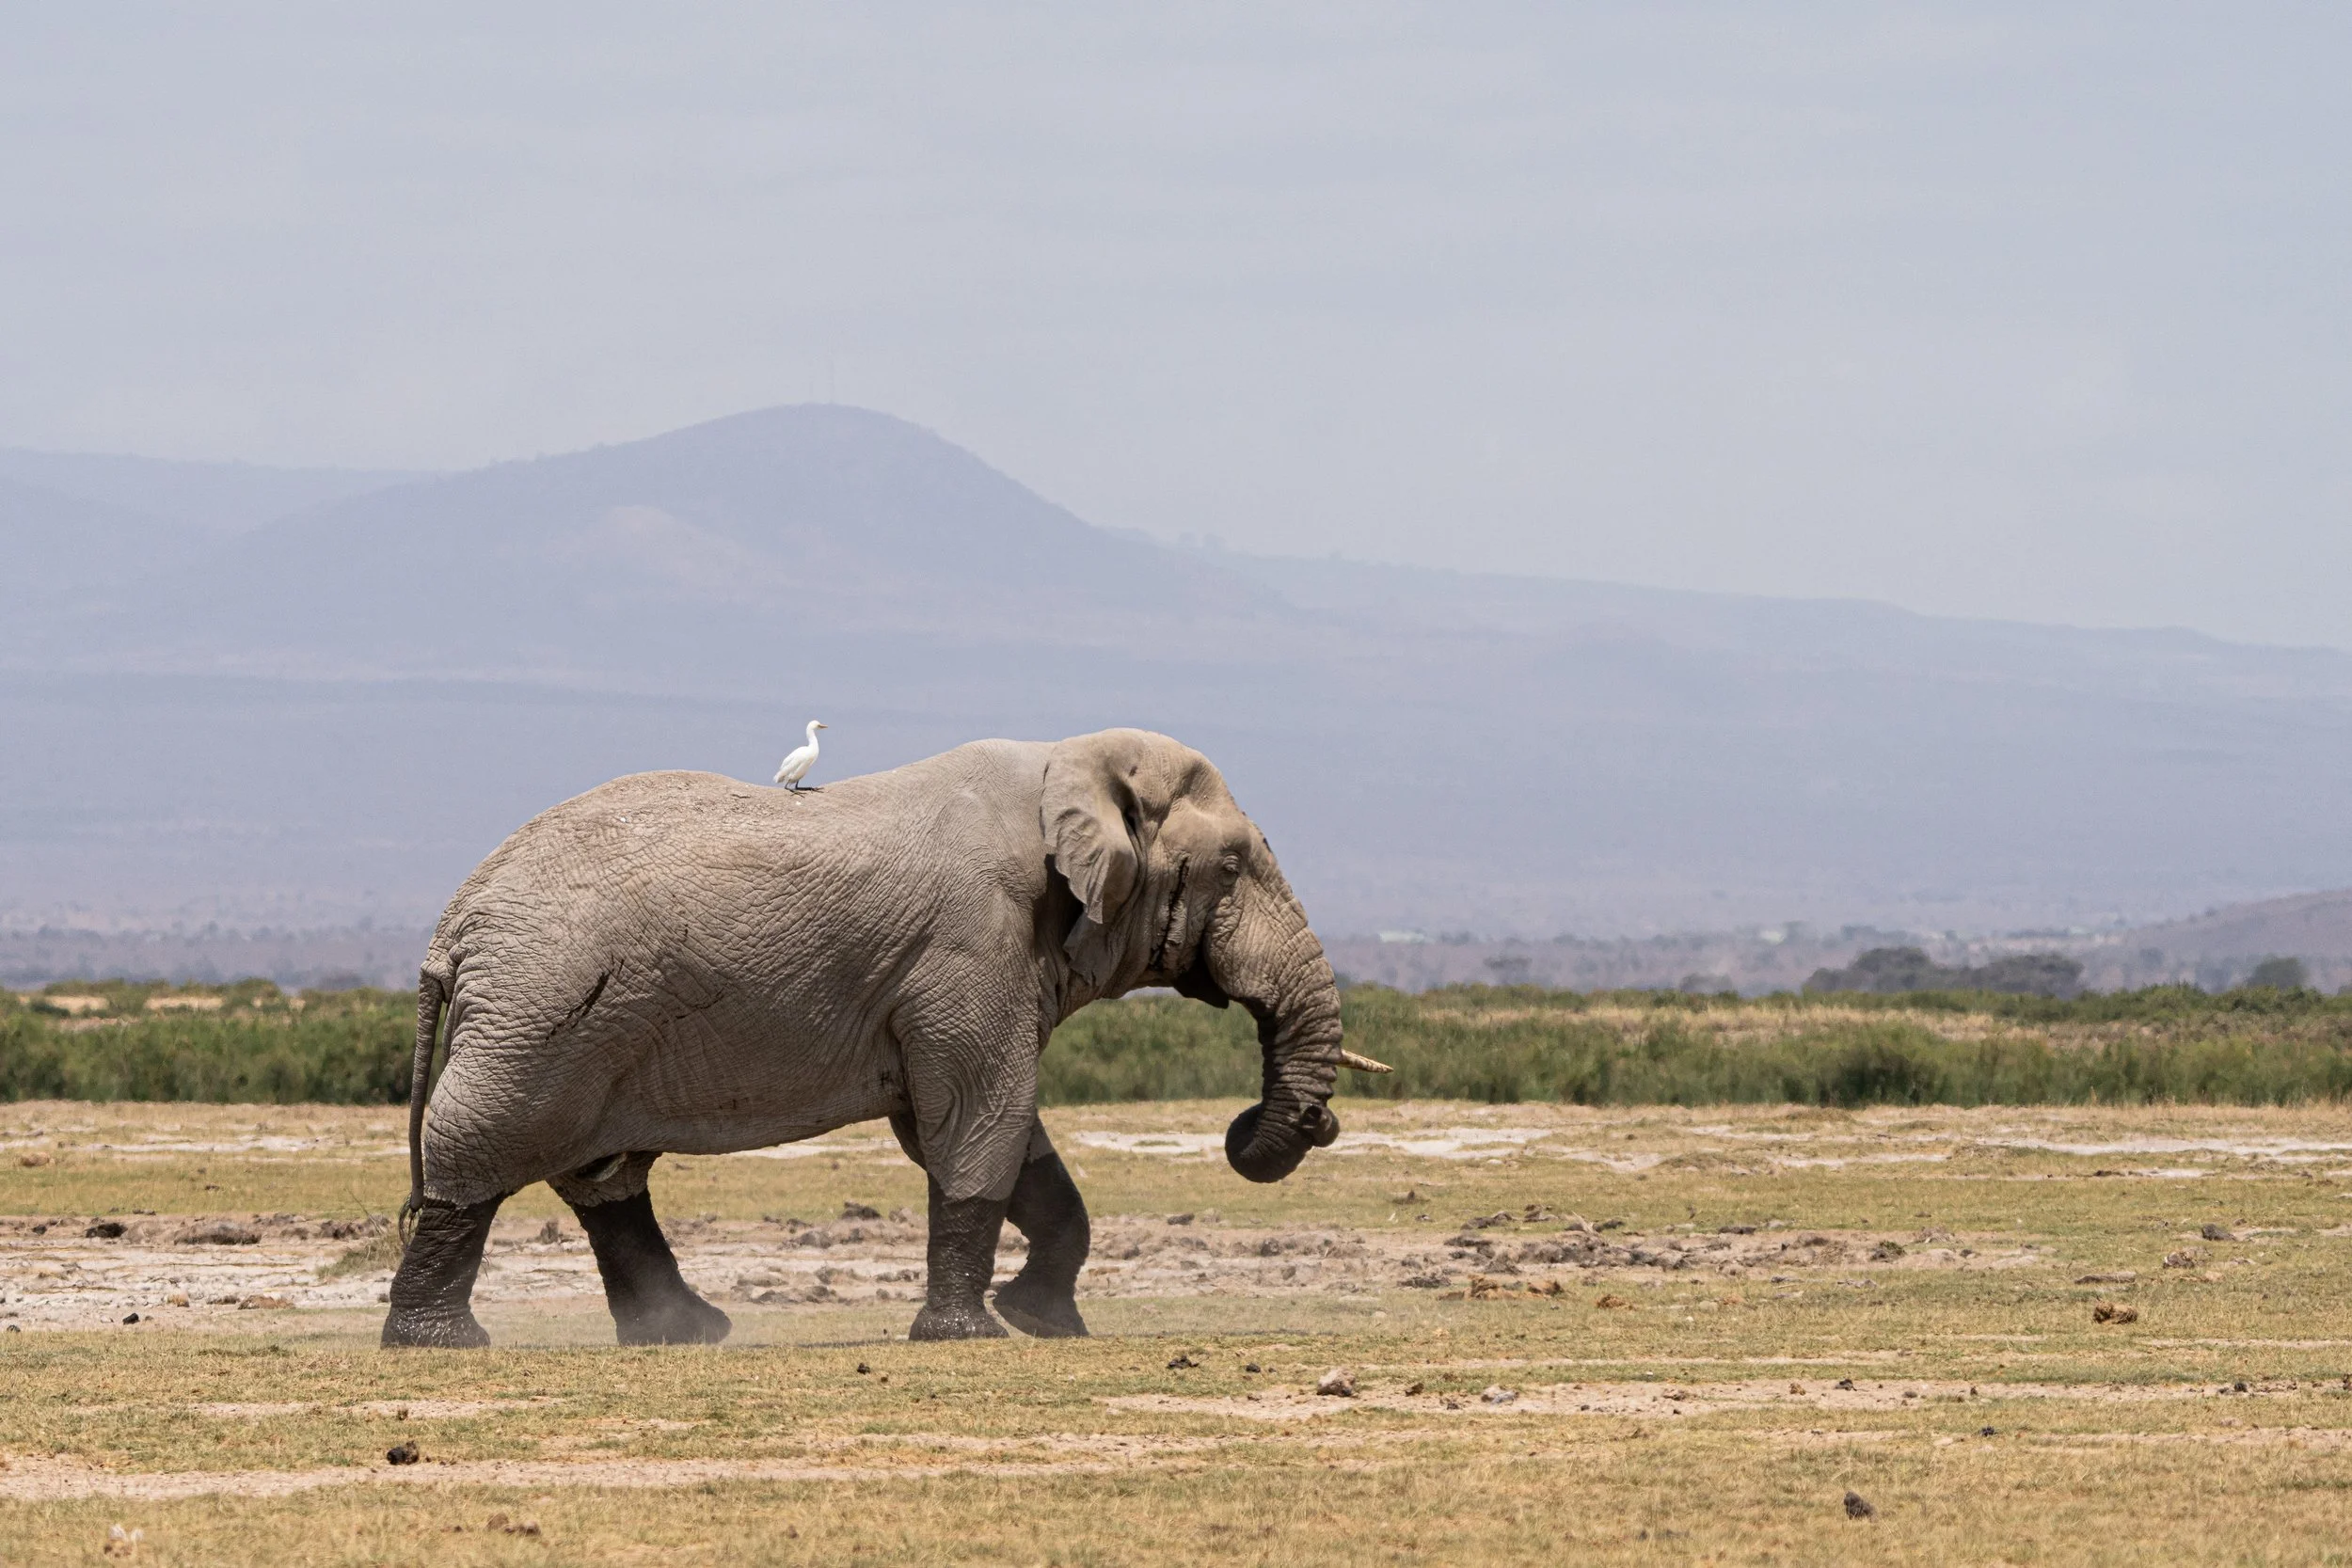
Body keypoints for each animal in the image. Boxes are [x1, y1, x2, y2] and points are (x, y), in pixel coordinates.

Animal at [381, 728, 1349, 1348]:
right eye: (1233, 865)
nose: (1307, 1122)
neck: (1068, 763)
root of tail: (453, 926)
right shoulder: (975, 944)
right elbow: (978, 1120)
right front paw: (971, 1336)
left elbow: (978, 1134)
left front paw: (1045, 1322)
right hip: (540, 1010)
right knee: (486, 1145)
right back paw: (439, 1341)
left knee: (600, 1173)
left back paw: (685, 1335)